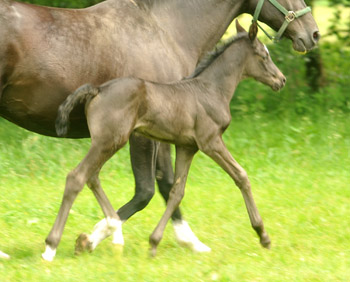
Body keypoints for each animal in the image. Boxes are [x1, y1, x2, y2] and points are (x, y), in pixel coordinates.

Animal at [56, 21, 286, 256]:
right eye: (264, 56)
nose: (281, 80)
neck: (211, 90)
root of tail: (98, 89)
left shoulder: (187, 147)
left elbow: (177, 192)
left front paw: (154, 241)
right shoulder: (210, 142)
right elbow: (241, 176)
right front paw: (263, 235)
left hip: (106, 143)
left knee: (92, 177)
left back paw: (105, 231)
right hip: (109, 141)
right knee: (77, 177)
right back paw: (53, 245)